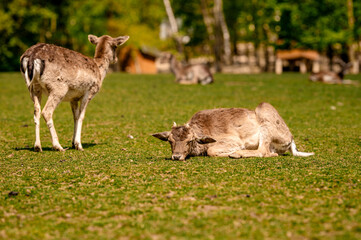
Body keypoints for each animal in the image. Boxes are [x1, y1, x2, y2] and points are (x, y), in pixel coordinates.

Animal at [151, 102, 312, 160]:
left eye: (190, 140)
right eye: (170, 140)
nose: (176, 156)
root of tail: (291, 140)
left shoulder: (231, 140)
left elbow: (212, 151)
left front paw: (233, 152)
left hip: (265, 112)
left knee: (263, 150)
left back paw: (236, 154)